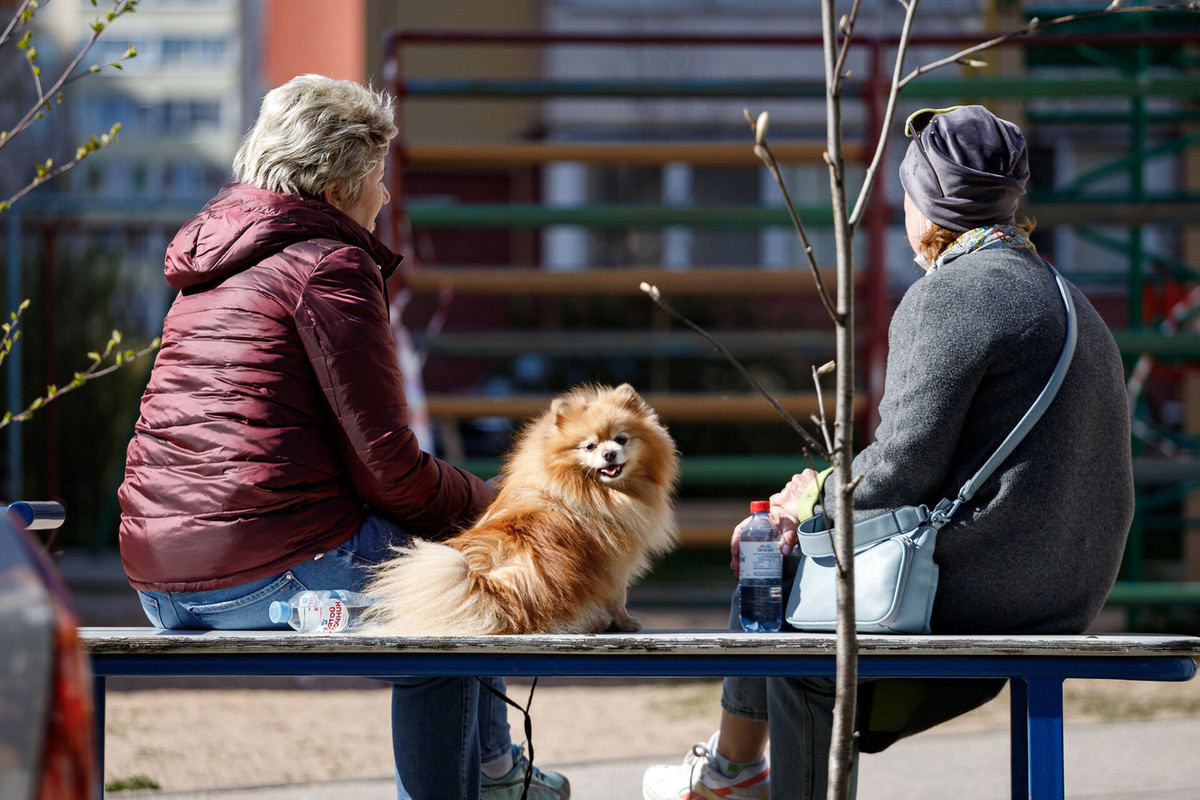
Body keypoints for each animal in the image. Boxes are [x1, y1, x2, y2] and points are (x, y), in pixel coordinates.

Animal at [360, 383, 681, 633]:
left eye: (621, 439)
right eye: (589, 446)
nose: (609, 453)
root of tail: (496, 591)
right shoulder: (615, 565)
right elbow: (618, 600)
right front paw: (626, 623)